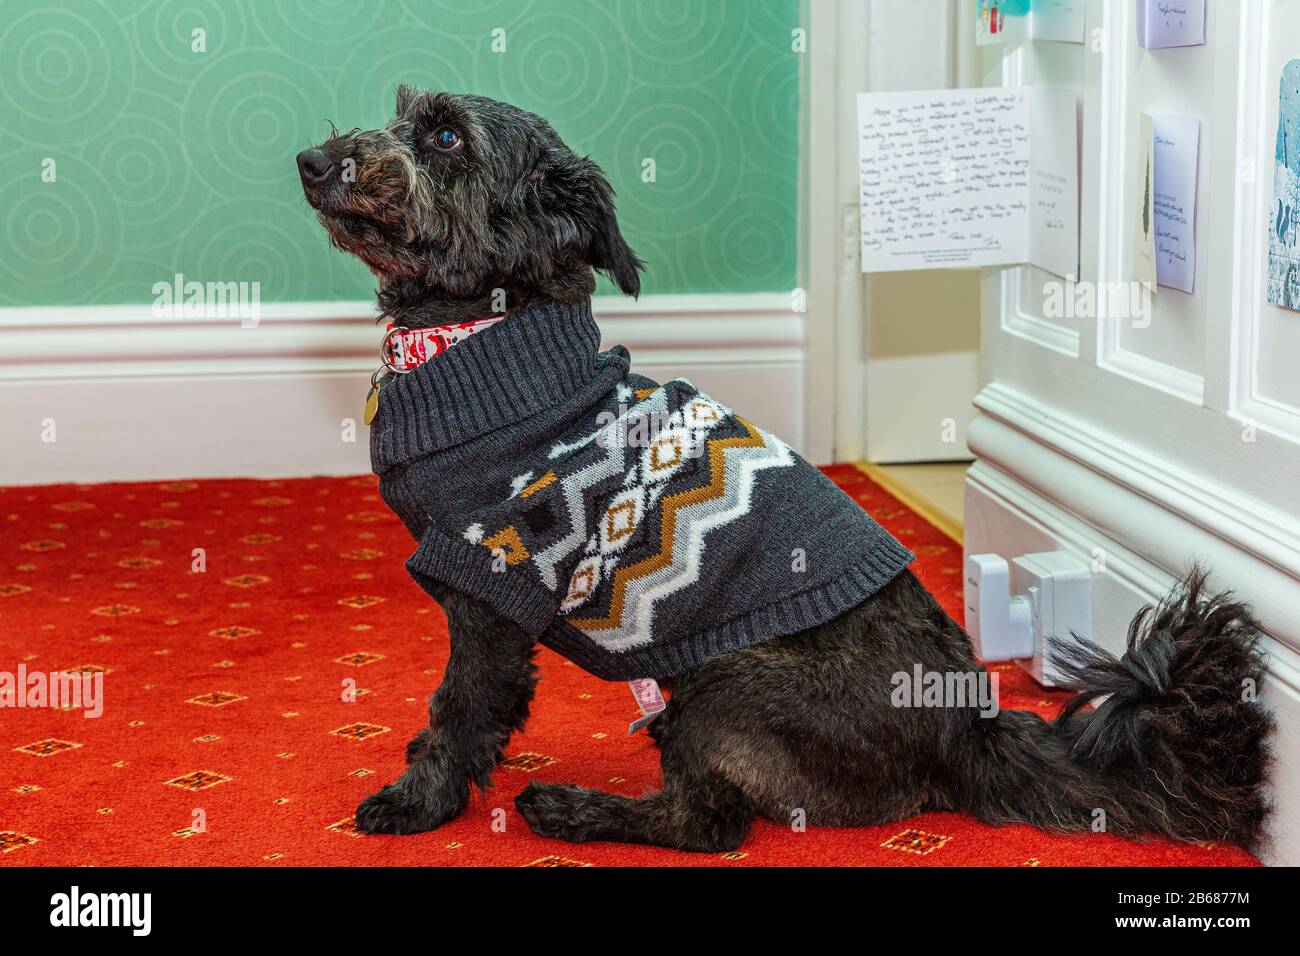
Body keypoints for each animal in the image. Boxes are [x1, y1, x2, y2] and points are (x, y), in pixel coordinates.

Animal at [299, 87, 1274, 853]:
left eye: (445, 137)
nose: (312, 158)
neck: (479, 337)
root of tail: (969, 728)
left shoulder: (494, 592)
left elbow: (458, 713)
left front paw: (415, 804)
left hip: (724, 681)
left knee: (711, 825)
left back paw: (575, 810)